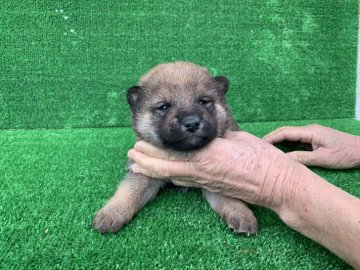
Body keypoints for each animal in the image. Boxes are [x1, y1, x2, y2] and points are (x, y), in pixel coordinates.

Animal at [91, 62, 258, 235]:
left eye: (203, 101)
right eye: (164, 106)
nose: (192, 123)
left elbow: (226, 194)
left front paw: (240, 212)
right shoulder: (145, 169)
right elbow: (130, 191)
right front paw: (111, 213)